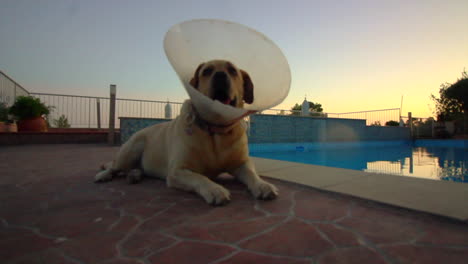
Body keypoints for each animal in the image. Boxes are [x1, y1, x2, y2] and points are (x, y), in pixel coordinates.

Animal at [96, 60, 278, 206]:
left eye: (232, 70)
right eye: (207, 71)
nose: (220, 75)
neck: (215, 129)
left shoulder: (241, 163)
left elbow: (252, 174)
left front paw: (263, 185)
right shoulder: (177, 171)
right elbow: (200, 178)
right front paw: (215, 190)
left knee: (133, 168)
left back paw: (134, 174)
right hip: (131, 149)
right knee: (114, 166)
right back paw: (104, 175)